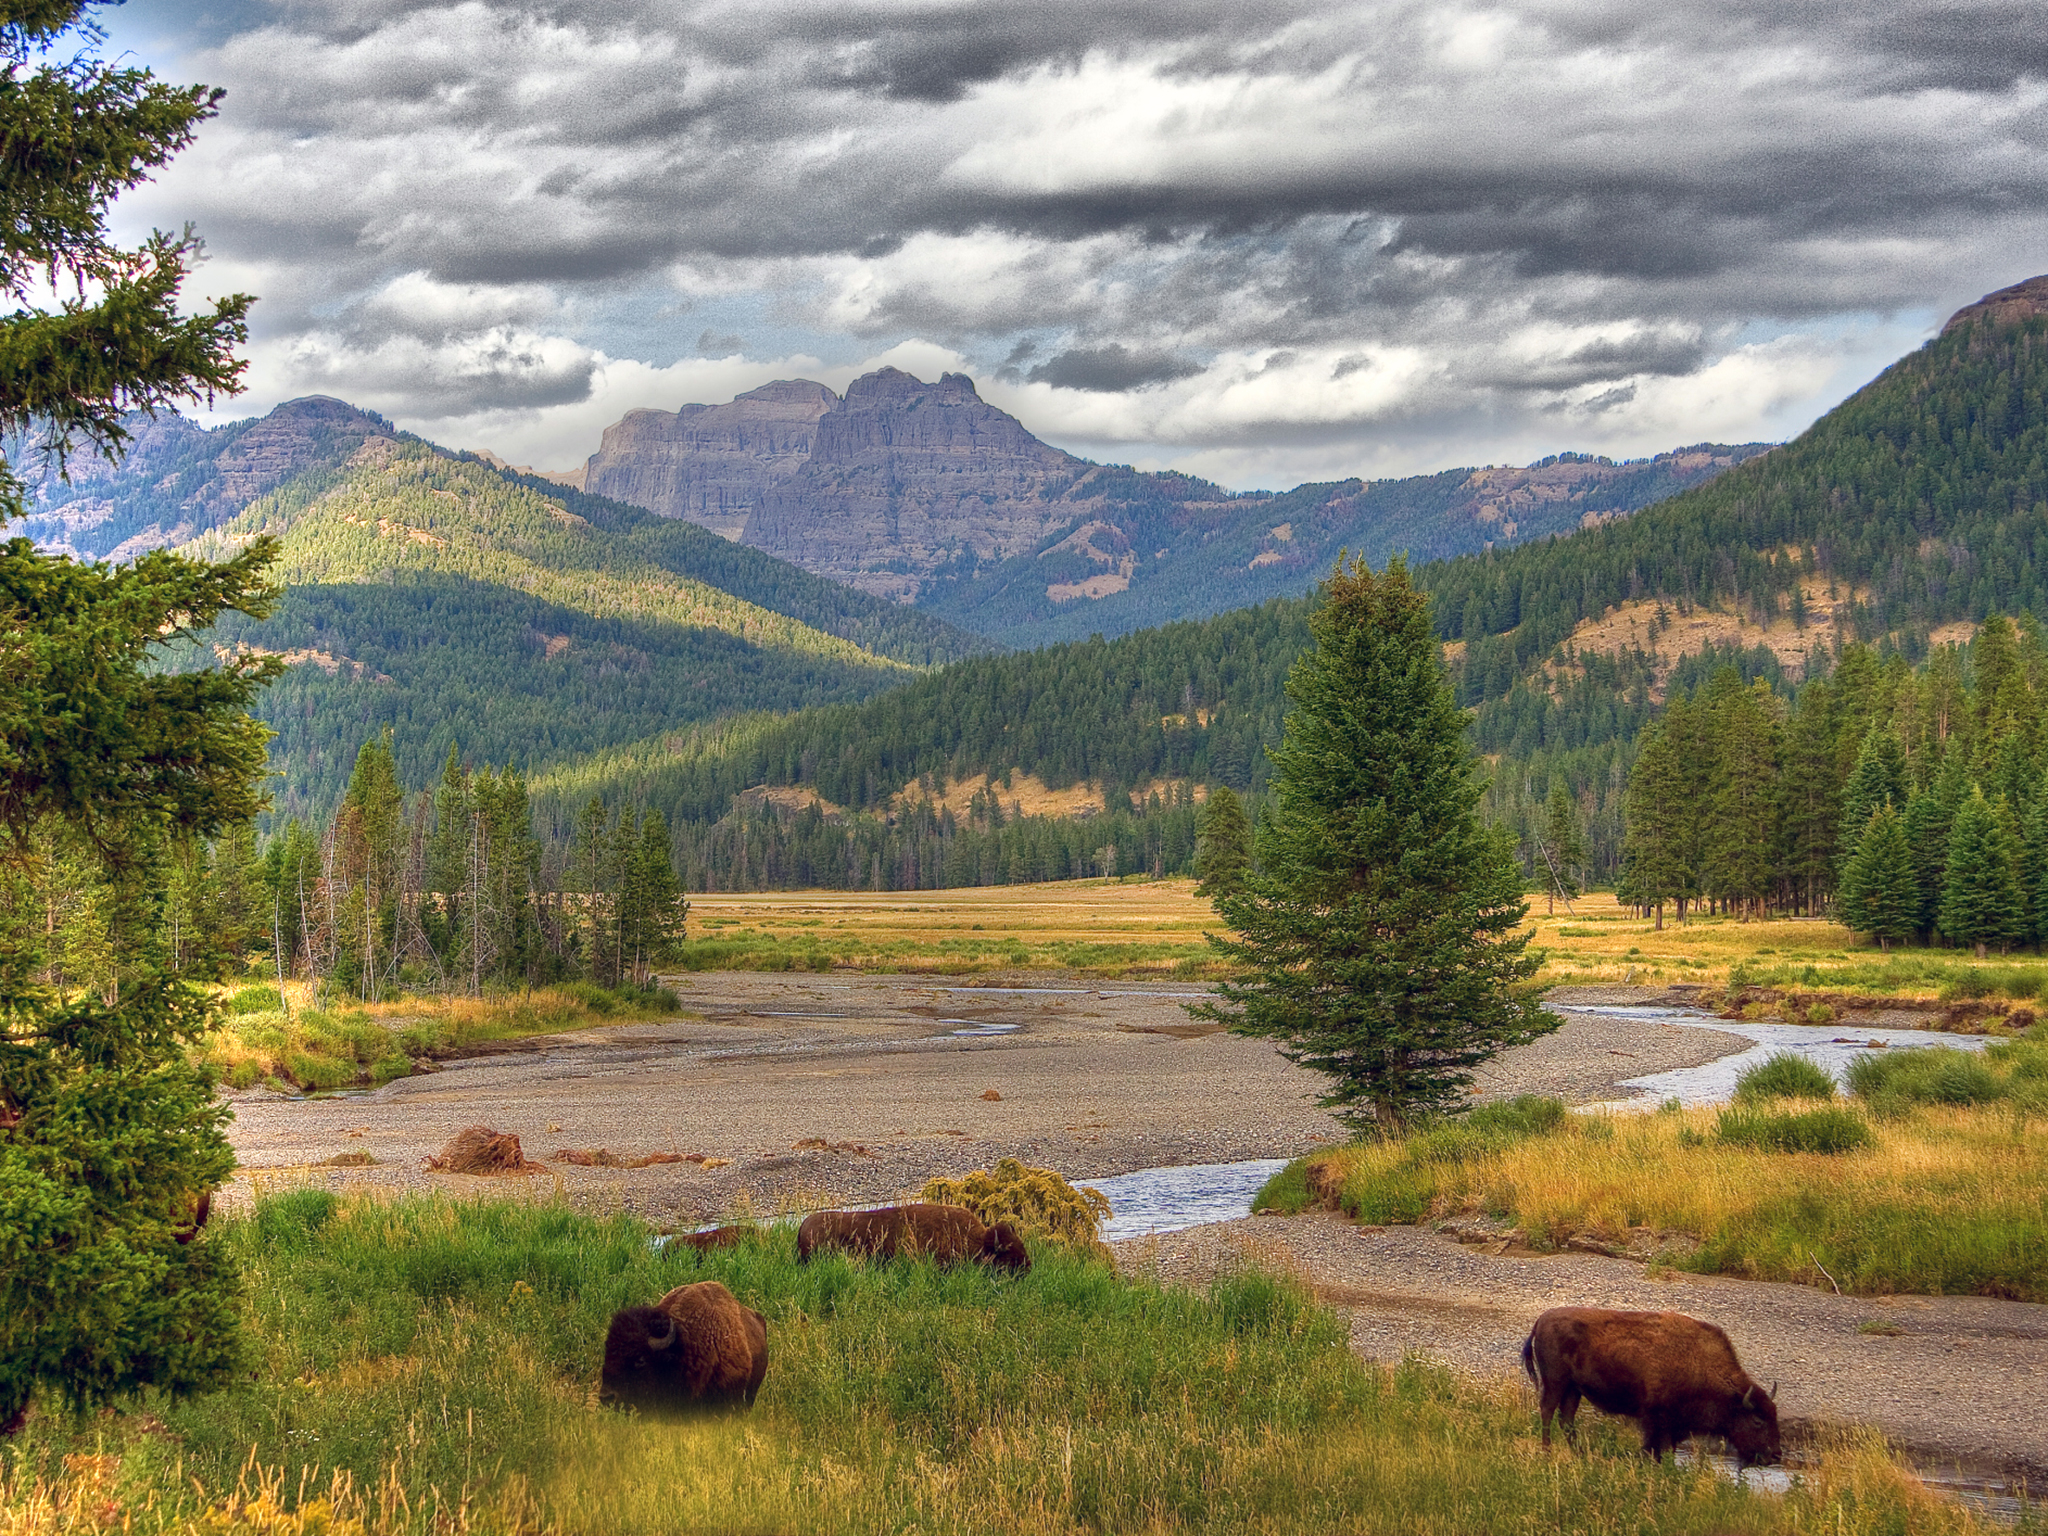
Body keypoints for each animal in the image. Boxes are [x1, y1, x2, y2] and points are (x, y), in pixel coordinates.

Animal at [1523, 1310, 1777, 1466]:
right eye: (1757, 1421)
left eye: (1774, 1417)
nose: (1774, 1455)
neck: (1698, 1361)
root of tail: (1540, 1321)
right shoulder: (1657, 1418)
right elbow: (1657, 1447)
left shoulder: (1672, 1425)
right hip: (1556, 1382)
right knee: (1547, 1411)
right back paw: (1547, 1451)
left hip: (1573, 1389)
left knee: (1566, 1419)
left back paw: (1580, 1453)